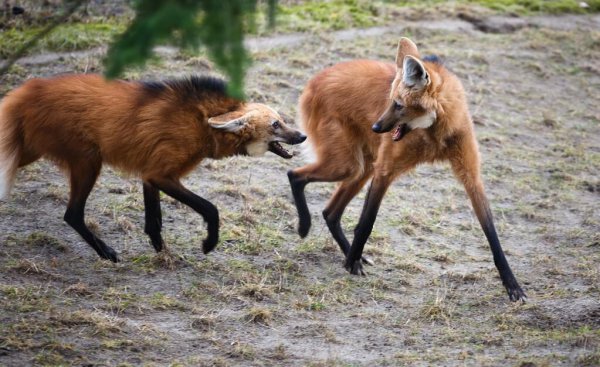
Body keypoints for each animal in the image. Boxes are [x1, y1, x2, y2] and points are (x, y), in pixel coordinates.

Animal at [0, 75, 308, 264]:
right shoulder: (161, 174)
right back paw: (107, 253)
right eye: (276, 124)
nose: (303, 136)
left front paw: (162, 253)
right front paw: (208, 244)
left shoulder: (150, 173)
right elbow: (210, 208)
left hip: (30, 150)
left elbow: (154, 220)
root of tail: (28, 90)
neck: (202, 123)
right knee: (73, 213)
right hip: (87, 161)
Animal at [288, 38, 528, 302]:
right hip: (348, 165)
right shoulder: (385, 171)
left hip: (361, 168)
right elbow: (367, 222)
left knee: (330, 212)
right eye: (390, 101)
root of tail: (315, 79)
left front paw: (513, 285)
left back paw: (352, 253)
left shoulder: (471, 175)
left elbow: (491, 232)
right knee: (295, 175)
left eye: (398, 105)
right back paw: (307, 228)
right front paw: (350, 264)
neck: (436, 133)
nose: (376, 127)